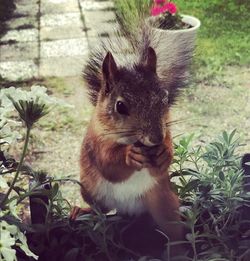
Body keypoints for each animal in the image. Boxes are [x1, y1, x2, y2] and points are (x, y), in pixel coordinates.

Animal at [71, 26, 192, 244]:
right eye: (120, 106)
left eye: (165, 98)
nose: (156, 138)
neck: (132, 140)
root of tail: (127, 210)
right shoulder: (96, 142)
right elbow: (109, 165)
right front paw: (130, 155)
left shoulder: (166, 129)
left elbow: (164, 157)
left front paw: (165, 153)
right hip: (90, 191)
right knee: (99, 210)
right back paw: (81, 211)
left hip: (165, 202)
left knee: (173, 231)